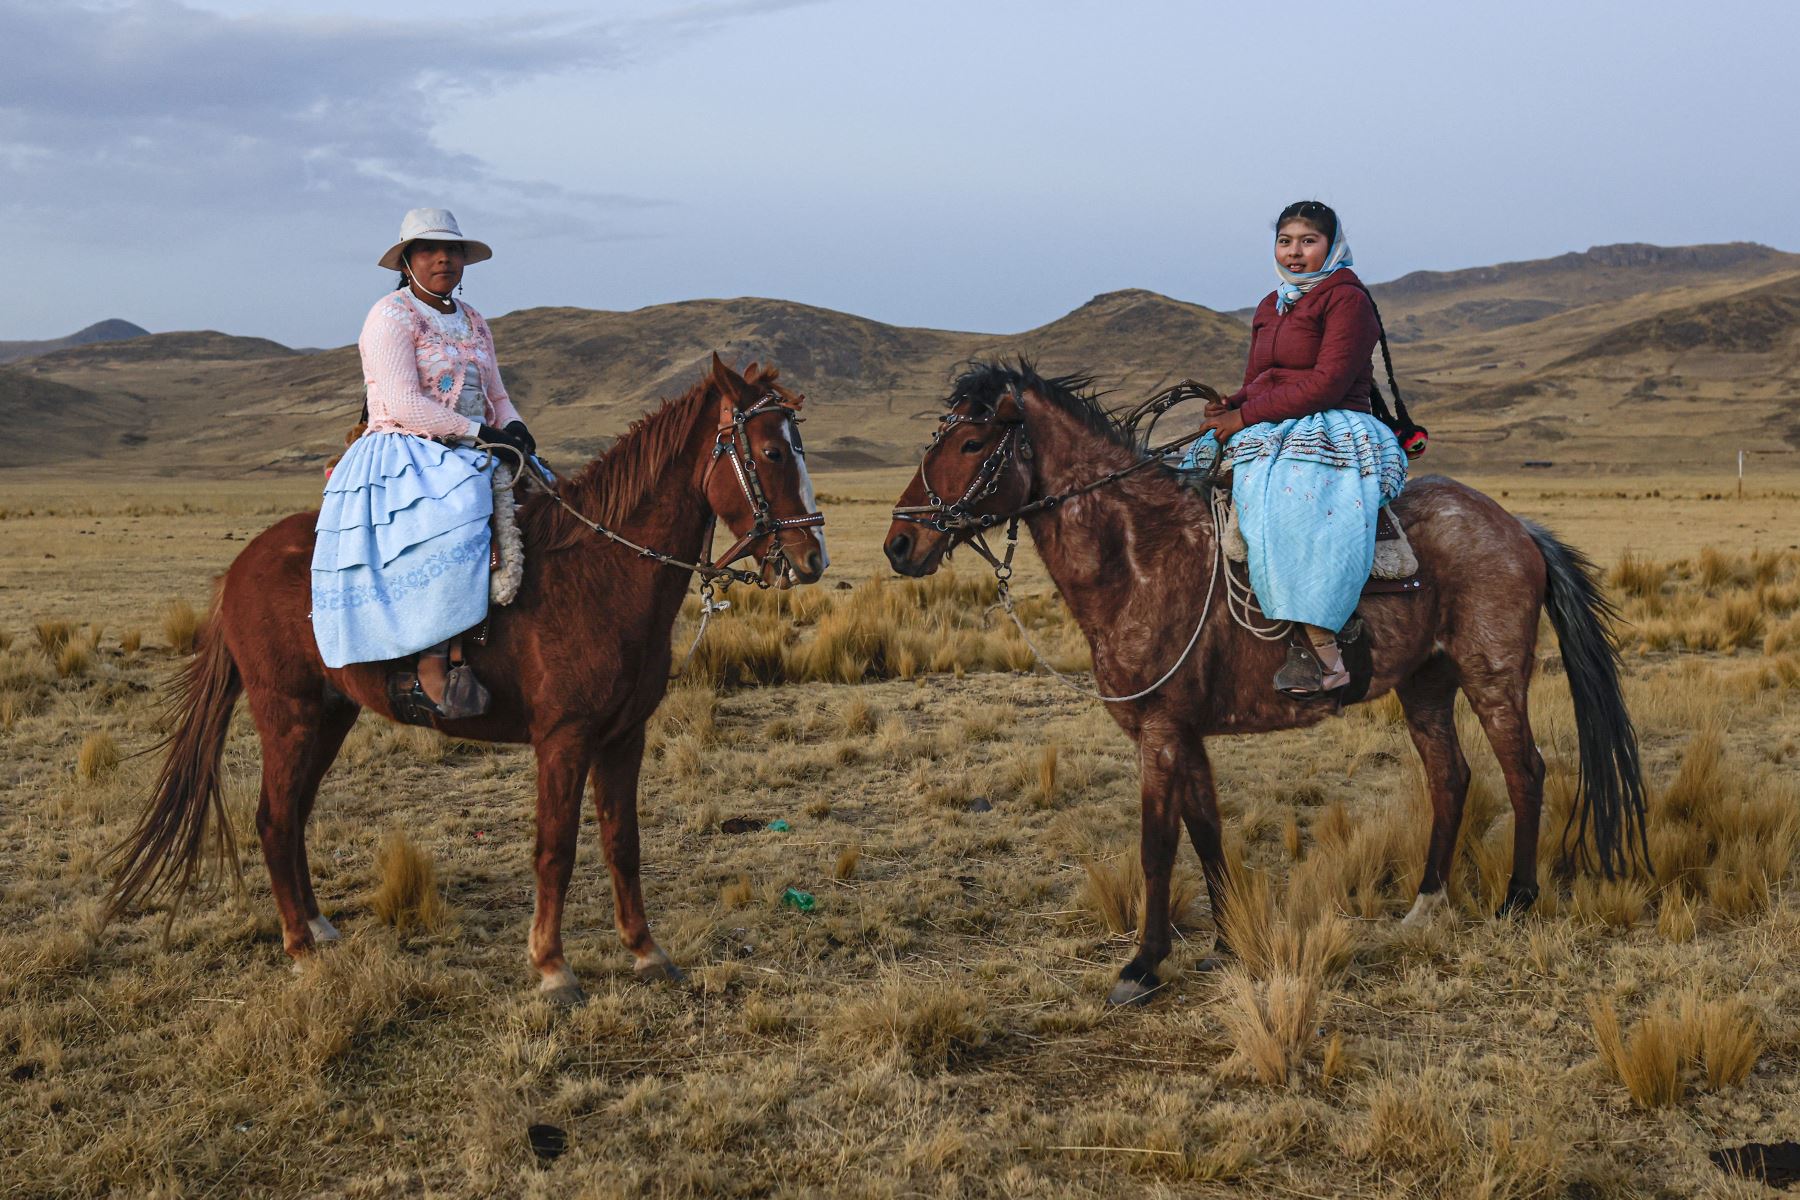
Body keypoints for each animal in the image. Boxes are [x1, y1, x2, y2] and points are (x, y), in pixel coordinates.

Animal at [116, 356, 831, 1007]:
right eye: (771, 451)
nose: (811, 559)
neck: (602, 574)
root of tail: (240, 567)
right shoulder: (564, 739)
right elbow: (555, 849)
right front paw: (552, 968)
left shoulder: (624, 736)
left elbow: (622, 843)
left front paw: (647, 952)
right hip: (285, 712)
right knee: (272, 816)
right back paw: (298, 945)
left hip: (330, 714)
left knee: (293, 815)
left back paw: (318, 928)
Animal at [885, 361, 1648, 1007]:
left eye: (972, 442)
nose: (900, 544)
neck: (1139, 559)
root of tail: (1517, 527)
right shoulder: (1185, 731)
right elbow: (1205, 832)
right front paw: (1225, 942)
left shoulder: (1160, 731)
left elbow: (1157, 846)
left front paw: (1142, 966)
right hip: (1425, 684)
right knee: (1450, 777)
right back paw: (1425, 905)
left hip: (1492, 677)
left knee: (1523, 771)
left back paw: (1517, 898)